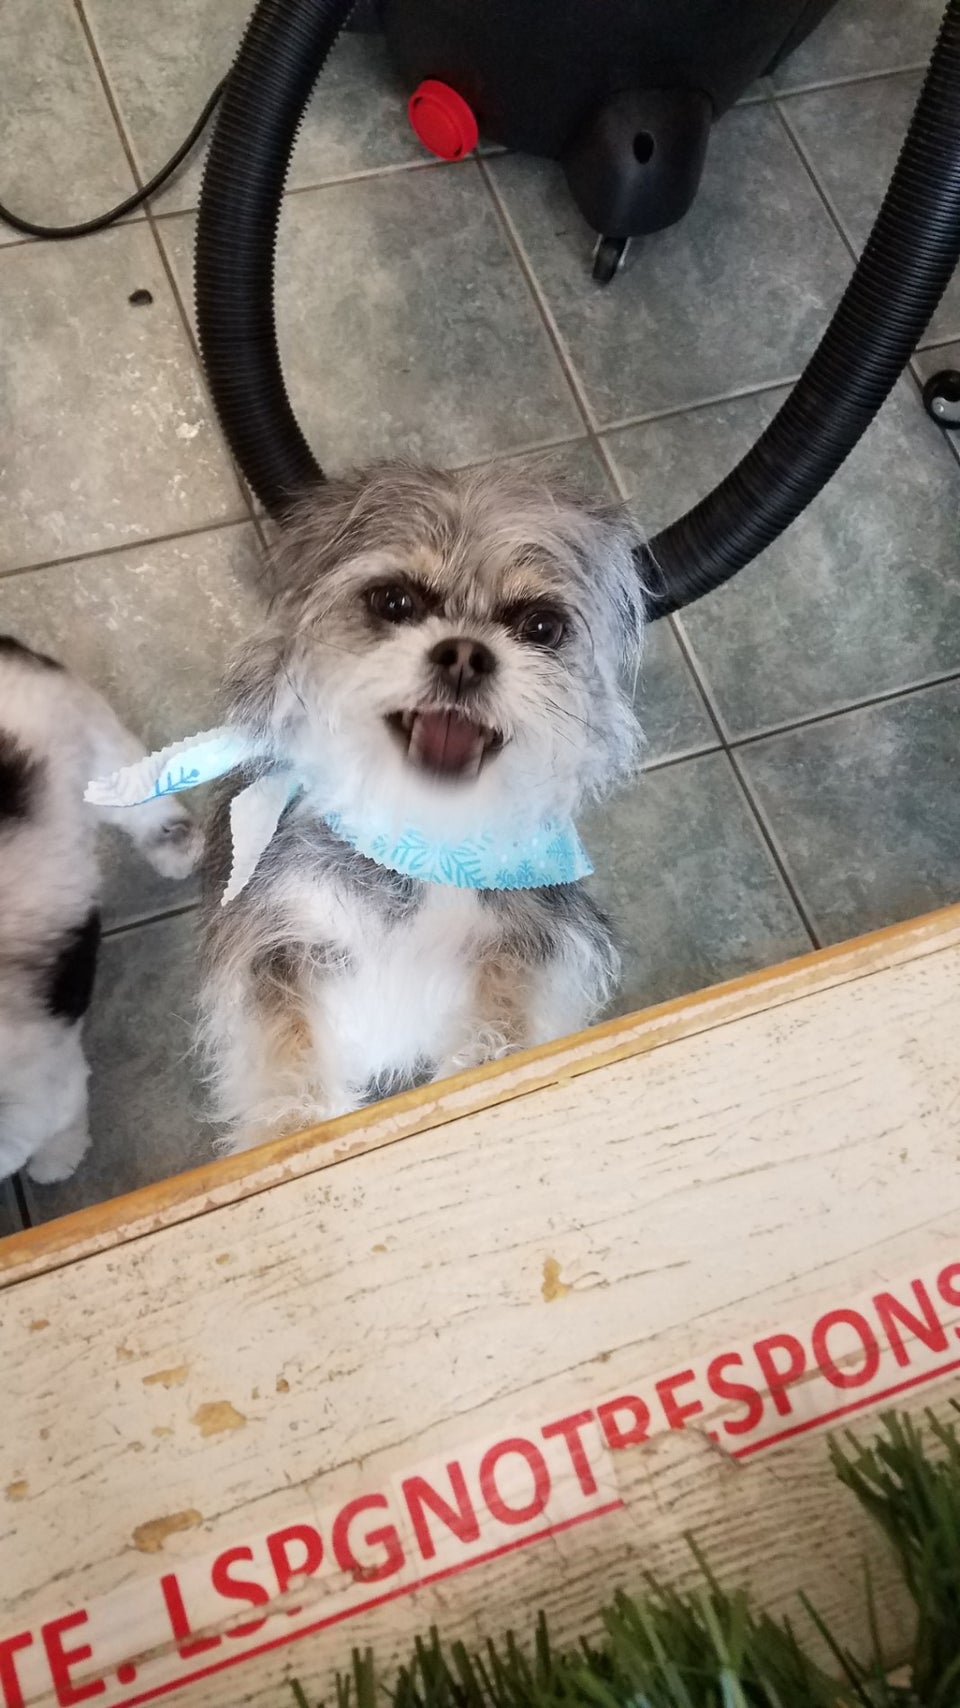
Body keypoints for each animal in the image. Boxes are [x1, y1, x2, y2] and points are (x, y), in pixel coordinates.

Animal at [0, 637, 202, 1186]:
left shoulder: (47, 1093)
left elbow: (58, 1130)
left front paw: (56, 1163)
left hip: (93, 747)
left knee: (143, 800)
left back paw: (174, 847)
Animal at [199, 462, 646, 1153]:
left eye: (541, 626)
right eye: (394, 602)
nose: (465, 655)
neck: (418, 843)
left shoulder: (527, 939)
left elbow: (502, 1027)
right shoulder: (278, 943)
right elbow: (290, 1056)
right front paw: (295, 1135)